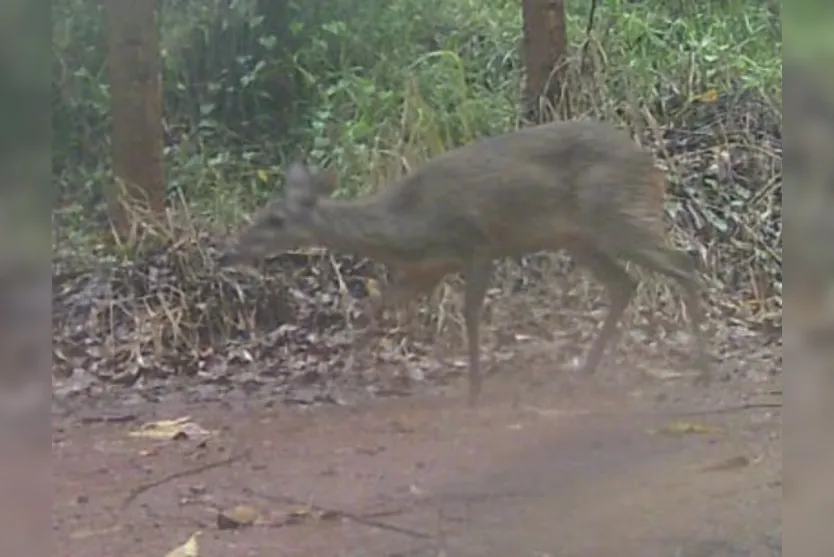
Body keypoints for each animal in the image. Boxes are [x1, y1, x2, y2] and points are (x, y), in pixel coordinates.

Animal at [216, 118, 708, 404]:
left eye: (277, 219)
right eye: (260, 212)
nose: (229, 251)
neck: (409, 226)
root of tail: (653, 167)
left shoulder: (478, 243)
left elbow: (470, 312)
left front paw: (474, 387)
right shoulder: (428, 270)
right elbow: (374, 305)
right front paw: (346, 376)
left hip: (618, 215)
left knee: (684, 262)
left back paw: (699, 361)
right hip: (580, 238)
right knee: (626, 284)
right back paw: (585, 370)